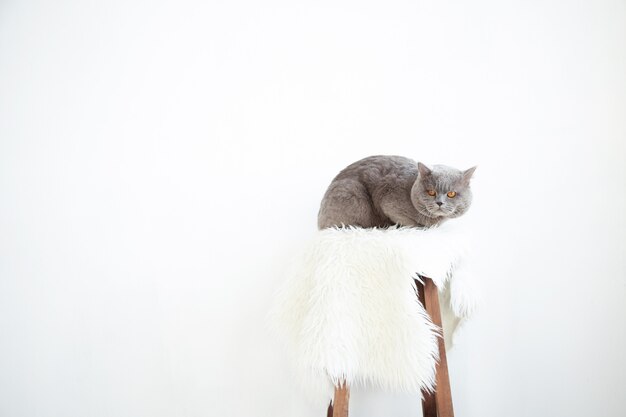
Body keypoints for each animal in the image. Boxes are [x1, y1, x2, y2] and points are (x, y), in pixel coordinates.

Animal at [320, 155, 476, 229]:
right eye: (431, 192)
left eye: (451, 194)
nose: (439, 203)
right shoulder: (389, 203)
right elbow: (409, 222)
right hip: (353, 193)